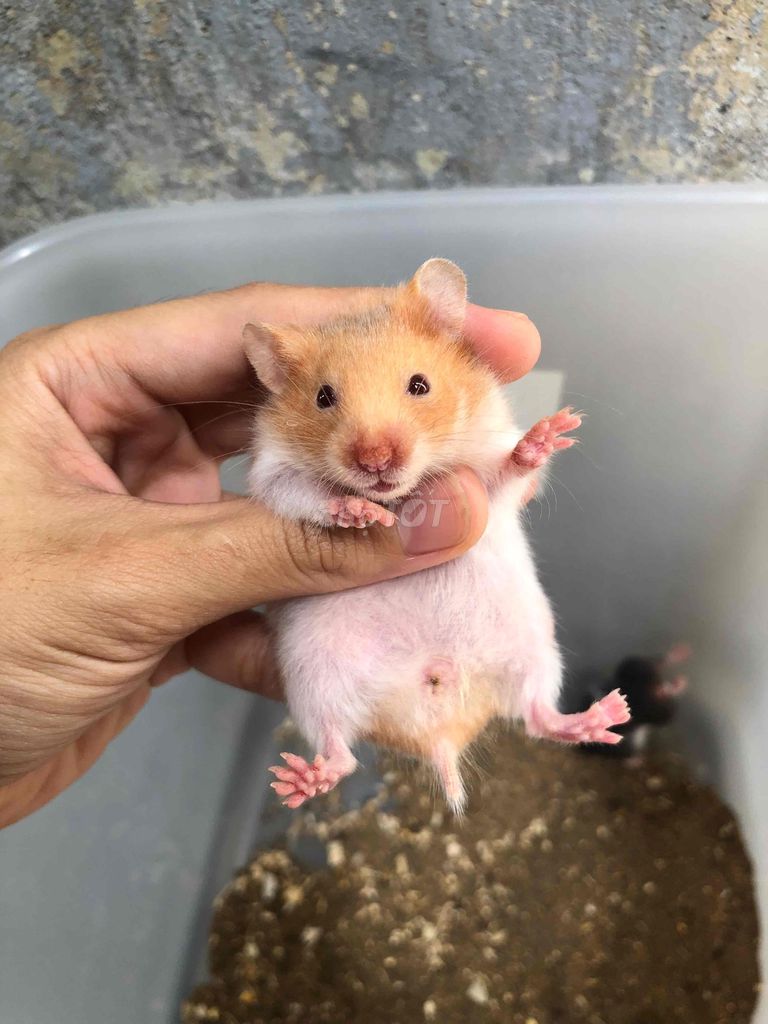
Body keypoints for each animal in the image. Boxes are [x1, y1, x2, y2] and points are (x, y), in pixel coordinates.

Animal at [244, 258, 630, 812]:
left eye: (420, 385)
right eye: (323, 397)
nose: (376, 461)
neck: (406, 489)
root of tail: (442, 727)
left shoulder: (488, 468)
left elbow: (506, 473)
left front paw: (547, 435)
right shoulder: (271, 473)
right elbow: (307, 494)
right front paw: (361, 514)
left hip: (535, 650)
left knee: (540, 716)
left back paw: (608, 715)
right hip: (312, 678)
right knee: (341, 751)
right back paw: (299, 783)